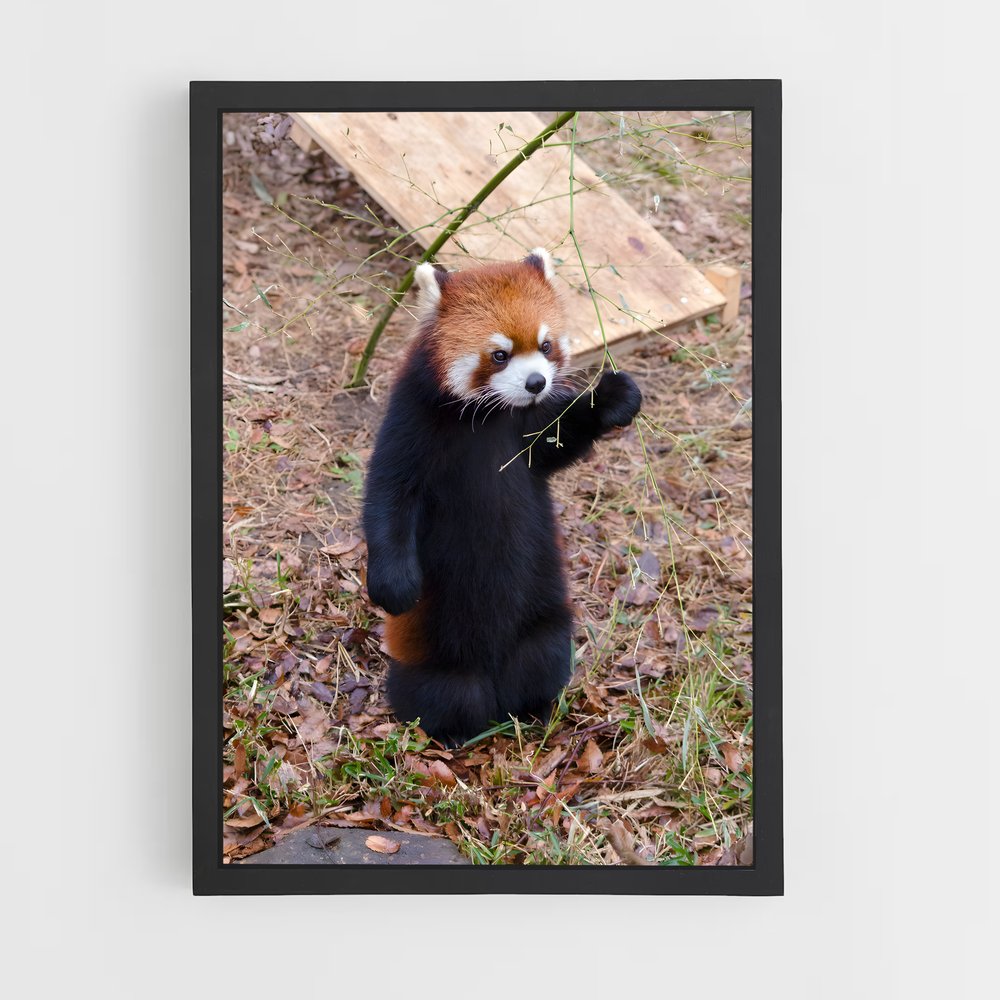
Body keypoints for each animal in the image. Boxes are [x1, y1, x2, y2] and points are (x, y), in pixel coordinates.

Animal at [362, 248, 642, 745]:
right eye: (499, 354)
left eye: (546, 346)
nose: (535, 383)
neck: (491, 416)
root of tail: (494, 681)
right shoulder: (412, 421)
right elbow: (389, 495)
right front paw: (394, 585)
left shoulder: (530, 432)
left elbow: (560, 441)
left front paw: (610, 397)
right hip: (436, 657)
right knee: (444, 693)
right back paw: (451, 733)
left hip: (544, 626)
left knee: (542, 658)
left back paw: (536, 708)